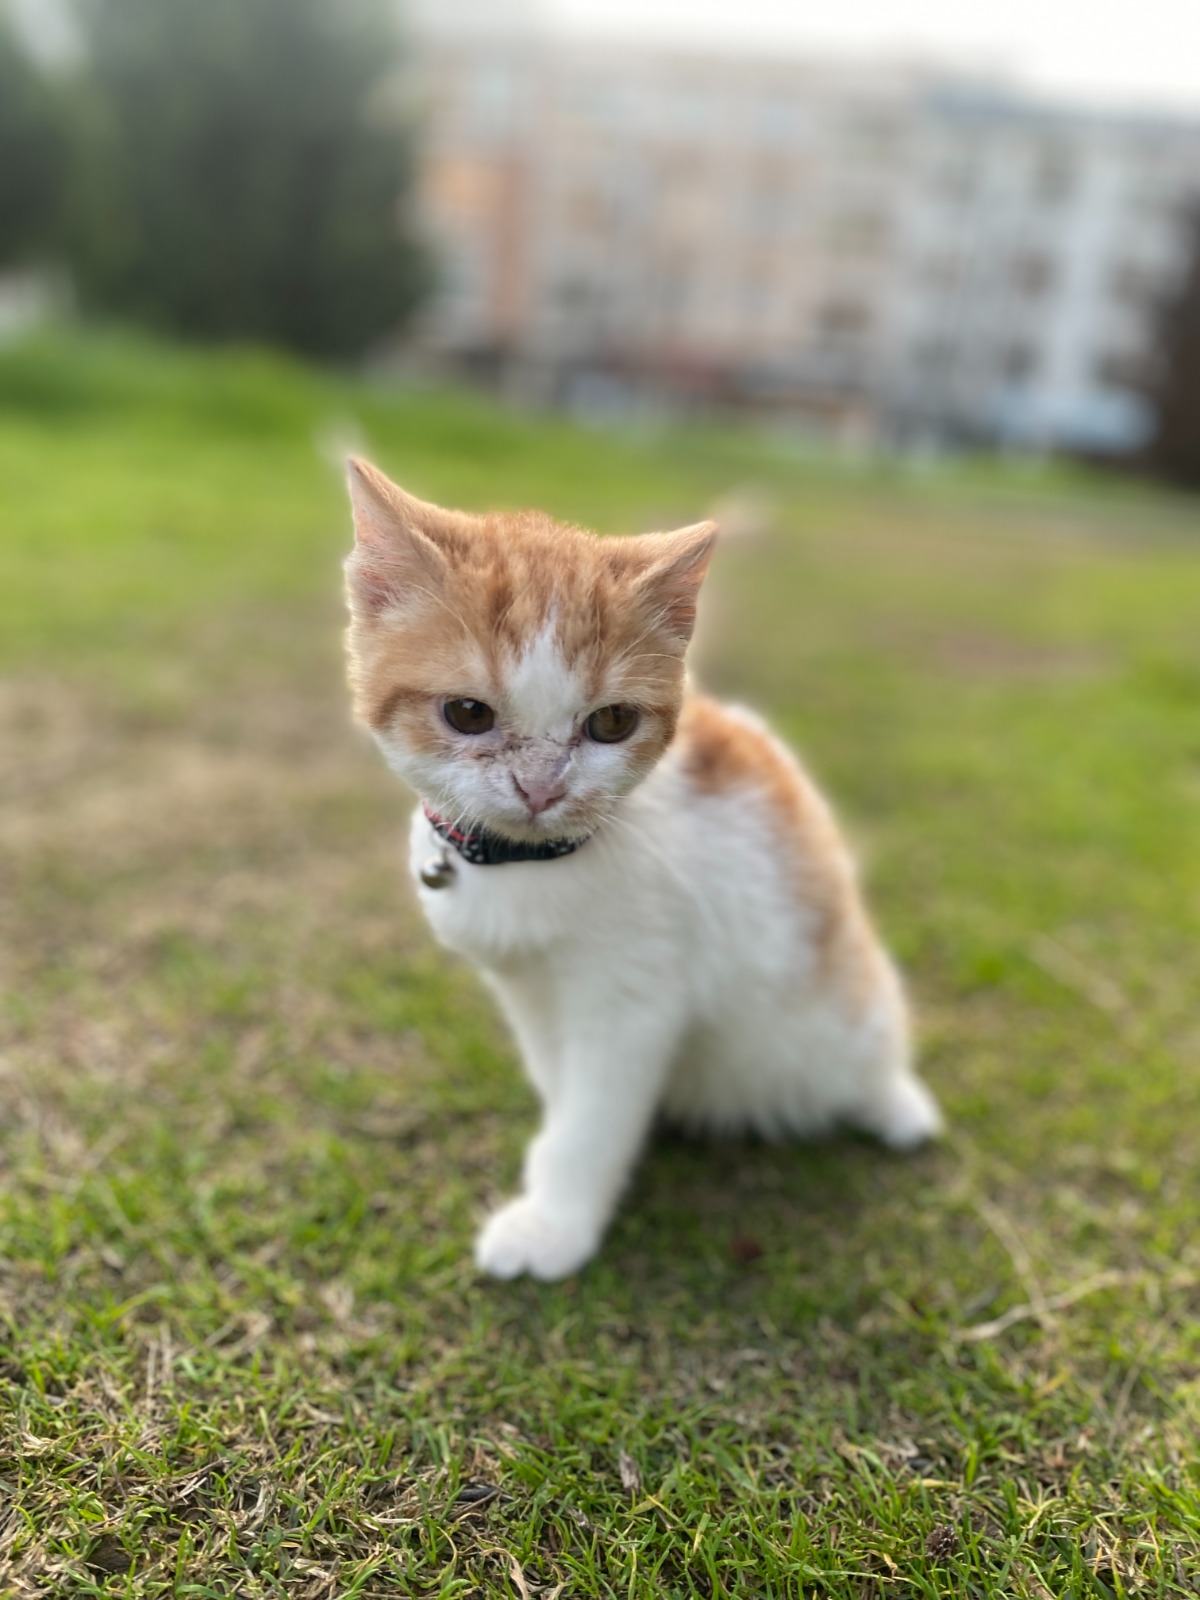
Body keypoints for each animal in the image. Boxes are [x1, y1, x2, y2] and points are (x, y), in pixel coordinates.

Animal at [342, 457, 947, 1280]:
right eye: (467, 714)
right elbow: (563, 1084)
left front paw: (554, 1224)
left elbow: (594, 1113)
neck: (527, 867)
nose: (541, 788)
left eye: (612, 723)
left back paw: (894, 1107)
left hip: (851, 1006)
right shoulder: (527, 990)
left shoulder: (633, 994)